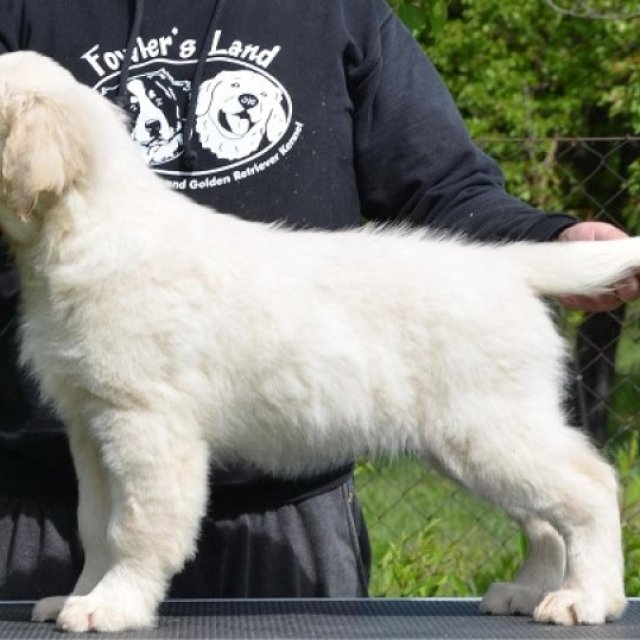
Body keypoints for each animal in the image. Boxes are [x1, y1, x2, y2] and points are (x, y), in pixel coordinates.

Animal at [0, 52, 632, 632]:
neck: (82, 230)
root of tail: (505, 265)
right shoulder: (91, 425)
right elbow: (95, 523)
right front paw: (79, 595)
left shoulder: (146, 422)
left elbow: (135, 526)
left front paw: (114, 605)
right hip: (479, 439)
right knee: (545, 519)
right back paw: (529, 591)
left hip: (490, 428)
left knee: (592, 488)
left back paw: (587, 597)